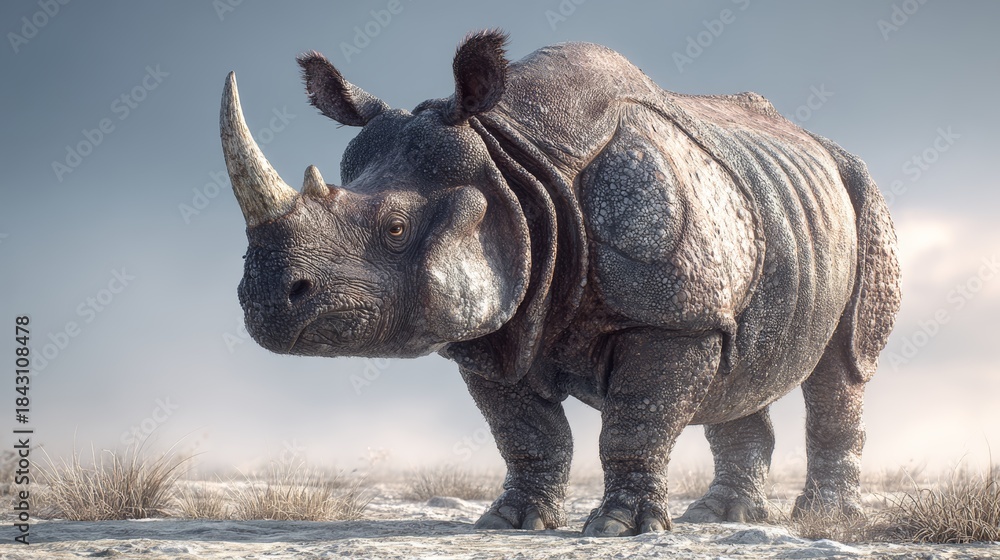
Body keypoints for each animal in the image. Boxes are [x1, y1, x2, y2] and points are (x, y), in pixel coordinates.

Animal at [220, 30, 900, 536]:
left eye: (393, 228)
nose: (266, 299)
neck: (514, 160)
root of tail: (820, 143)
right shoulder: (491, 326)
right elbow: (525, 431)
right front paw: (510, 522)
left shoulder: (669, 313)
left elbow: (638, 419)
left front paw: (622, 528)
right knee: (740, 367)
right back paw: (717, 516)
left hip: (862, 192)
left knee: (842, 366)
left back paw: (823, 520)